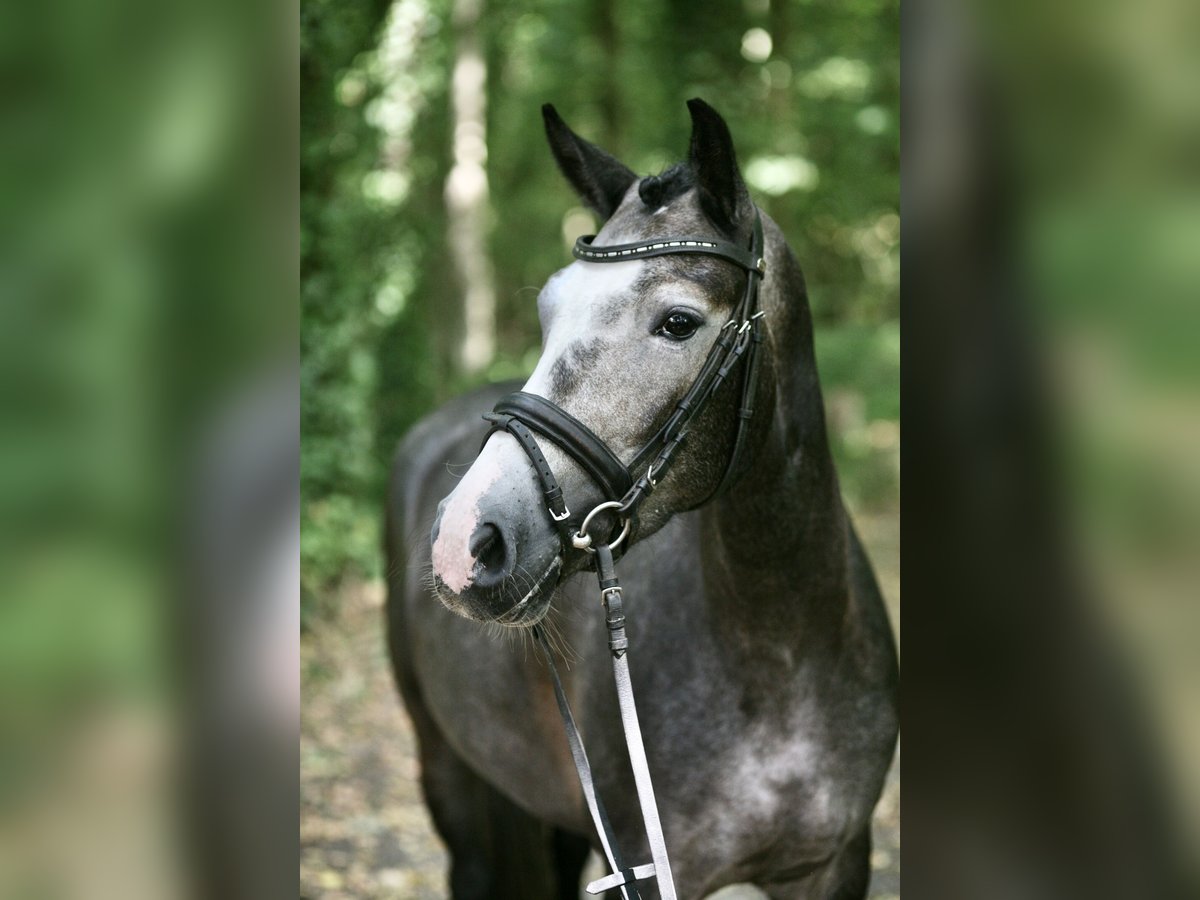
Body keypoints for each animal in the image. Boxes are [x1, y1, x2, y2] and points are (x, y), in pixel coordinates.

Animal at [386, 100, 902, 900]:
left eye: (678, 322)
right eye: (548, 309)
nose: (464, 541)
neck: (783, 651)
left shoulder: (837, 863)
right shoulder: (652, 865)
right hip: (448, 772)